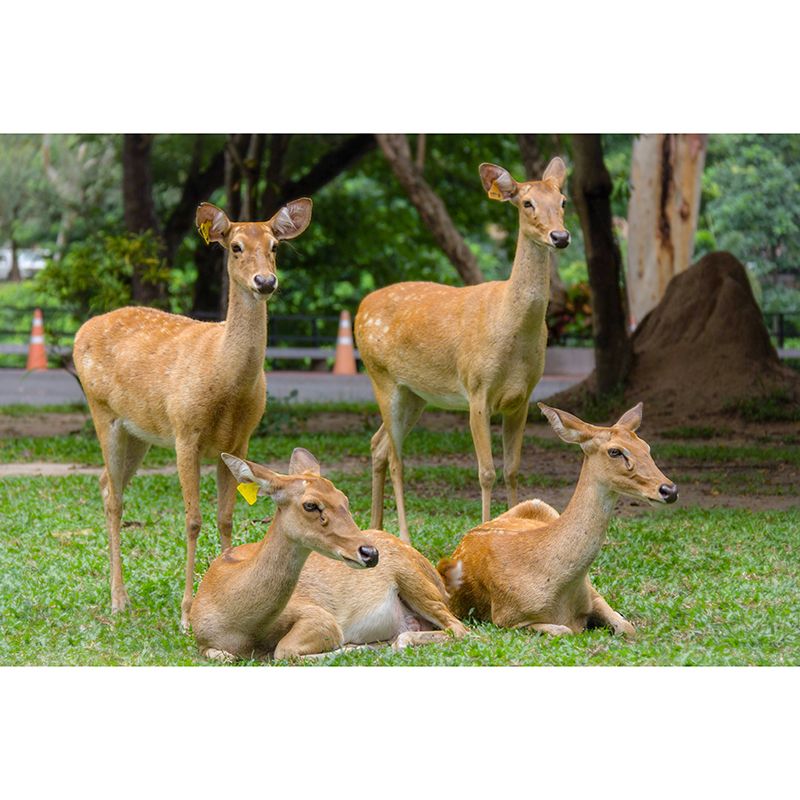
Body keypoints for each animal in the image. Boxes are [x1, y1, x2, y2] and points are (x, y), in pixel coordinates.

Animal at [72, 198, 312, 630]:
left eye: (275, 246)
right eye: (235, 246)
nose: (265, 281)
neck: (225, 381)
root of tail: (81, 330)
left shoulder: (239, 440)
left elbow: (226, 516)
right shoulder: (185, 433)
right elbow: (193, 520)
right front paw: (186, 613)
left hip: (139, 433)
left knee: (104, 484)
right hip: (103, 412)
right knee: (115, 497)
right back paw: (119, 600)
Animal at [190, 448, 468, 661]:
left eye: (344, 499)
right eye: (311, 504)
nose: (370, 553)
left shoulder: (320, 616)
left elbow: (284, 650)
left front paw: (356, 647)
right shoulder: (202, 641)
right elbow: (223, 655)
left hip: (415, 580)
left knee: (460, 629)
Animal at [354, 158, 570, 542]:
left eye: (562, 201)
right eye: (526, 203)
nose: (560, 237)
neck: (511, 327)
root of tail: (360, 308)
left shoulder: (523, 397)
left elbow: (512, 469)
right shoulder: (477, 389)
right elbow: (486, 472)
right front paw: (481, 530)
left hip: (415, 393)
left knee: (377, 445)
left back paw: (377, 528)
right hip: (381, 376)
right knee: (395, 458)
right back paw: (403, 537)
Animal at [436, 402, 678, 637]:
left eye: (647, 447)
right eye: (615, 451)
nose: (669, 490)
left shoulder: (592, 593)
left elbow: (628, 628)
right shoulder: (506, 617)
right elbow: (564, 631)